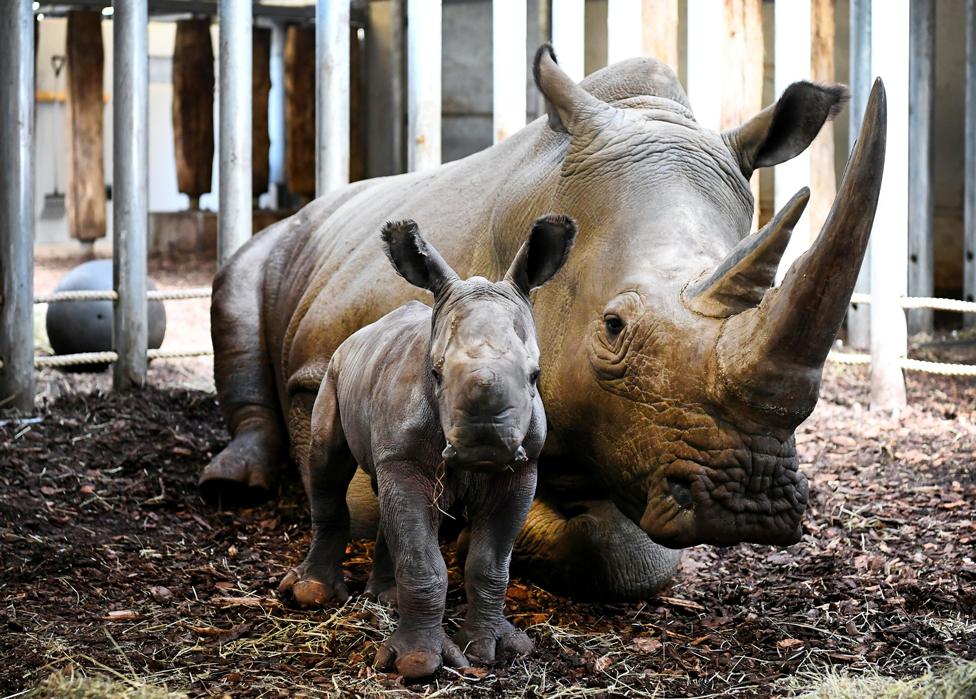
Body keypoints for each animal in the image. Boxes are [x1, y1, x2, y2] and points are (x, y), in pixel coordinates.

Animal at [278, 217, 576, 680]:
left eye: (535, 375)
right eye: (435, 373)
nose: (485, 442)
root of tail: (361, 331)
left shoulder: (522, 469)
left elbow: (490, 562)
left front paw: (494, 650)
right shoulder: (407, 459)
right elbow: (423, 560)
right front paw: (418, 664)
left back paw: (385, 599)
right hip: (333, 369)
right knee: (327, 467)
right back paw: (311, 594)